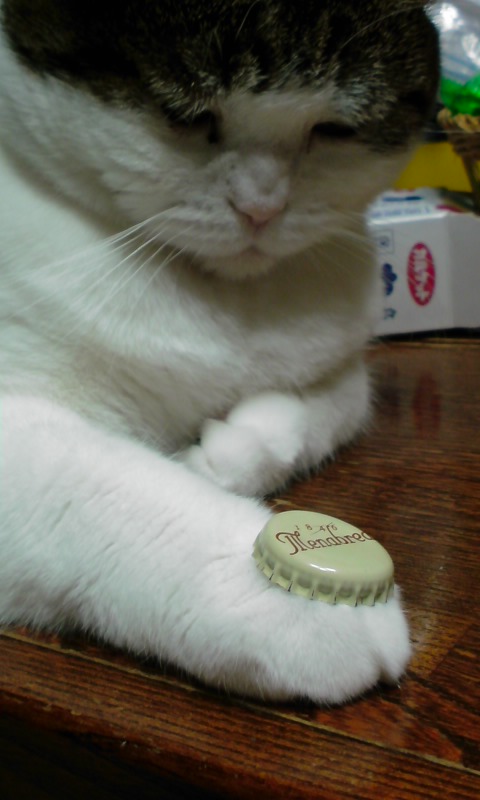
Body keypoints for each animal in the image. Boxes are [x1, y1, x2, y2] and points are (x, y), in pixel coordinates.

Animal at [0, 0, 439, 704]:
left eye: (333, 129)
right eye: (184, 115)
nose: (261, 209)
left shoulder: (342, 341)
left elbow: (337, 403)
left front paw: (231, 449)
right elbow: (106, 488)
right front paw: (296, 604)